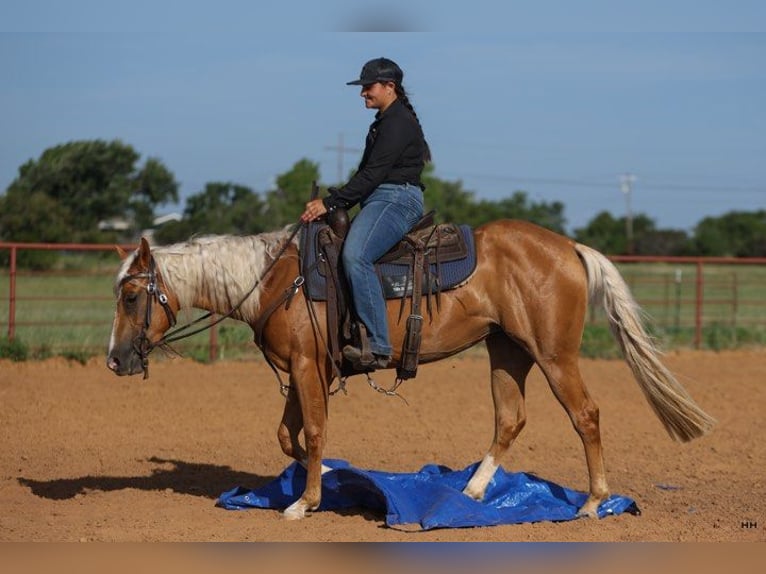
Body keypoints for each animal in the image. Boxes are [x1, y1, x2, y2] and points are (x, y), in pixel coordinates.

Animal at [106, 219, 715, 520]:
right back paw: (473, 491)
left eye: (133, 295)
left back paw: (591, 503)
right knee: (510, 420)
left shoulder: (306, 366)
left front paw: (305, 502)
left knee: (585, 414)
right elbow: (288, 434)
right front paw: (327, 479)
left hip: (553, 354)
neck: (278, 278)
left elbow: (315, 431)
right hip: (507, 351)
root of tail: (568, 246)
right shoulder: (305, 369)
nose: (115, 359)